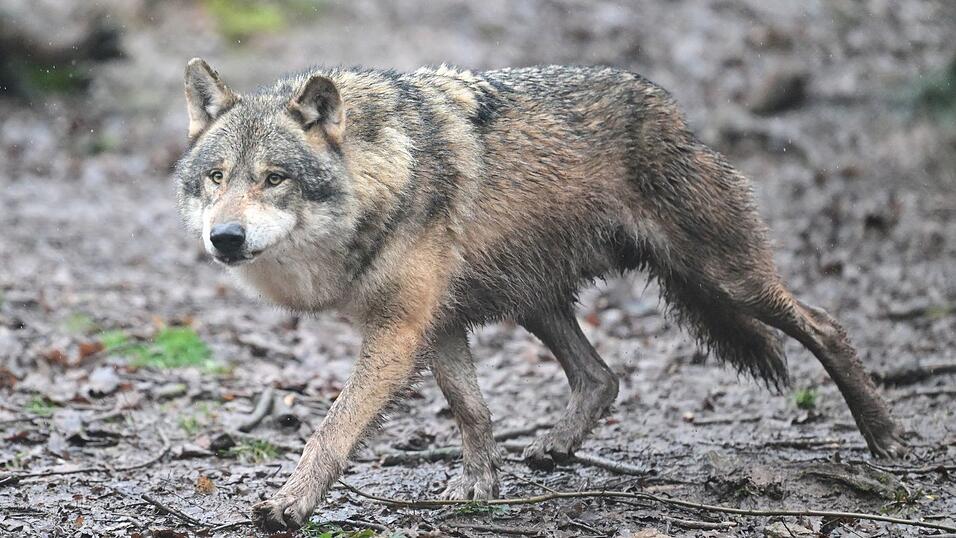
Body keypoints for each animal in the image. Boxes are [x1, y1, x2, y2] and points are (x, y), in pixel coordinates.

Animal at [174, 58, 905, 530]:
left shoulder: (399, 331)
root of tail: (671, 109)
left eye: (273, 178)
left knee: (826, 324)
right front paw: (478, 487)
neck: (382, 175)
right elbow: (471, 409)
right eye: (217, 176)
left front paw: (289, 505)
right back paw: (555, 447)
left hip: (725, 278)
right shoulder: (437, 323)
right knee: (603, 376)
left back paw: (885, 437)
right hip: (535, 301)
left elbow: (332, 429)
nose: (225, 238)